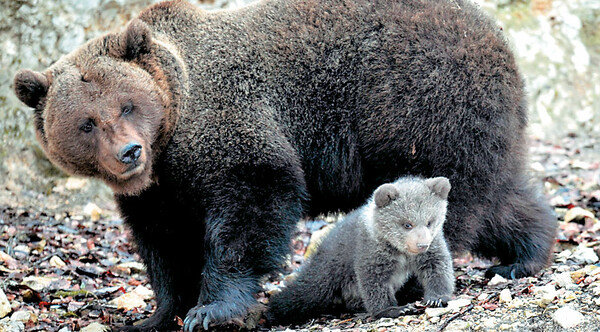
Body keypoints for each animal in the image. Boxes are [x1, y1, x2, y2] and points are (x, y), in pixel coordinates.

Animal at [11, 0, 556, 330]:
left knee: (451, 201)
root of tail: (499, 39)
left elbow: (252, 206)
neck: (170, 137)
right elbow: (165, 245)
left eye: (126, 105)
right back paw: (524, 256)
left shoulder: (230, 126)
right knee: (497, 197)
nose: (129, 152)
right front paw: (158, 314)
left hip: (421, 107)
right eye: (86, 122)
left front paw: (212, 309)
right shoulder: (159, 192)